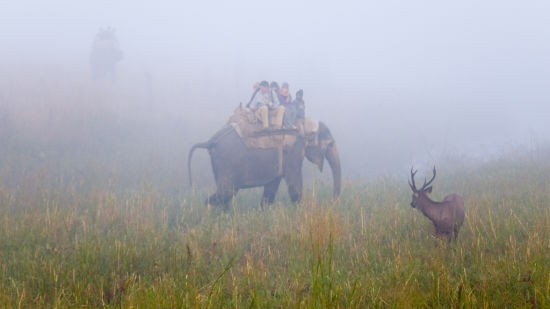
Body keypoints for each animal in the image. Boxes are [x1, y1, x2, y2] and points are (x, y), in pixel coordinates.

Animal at [192, 119, 342, 207]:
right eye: (330, 144)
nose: (332, 202)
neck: (303, 125)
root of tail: (211, 141)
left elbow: (271, 187)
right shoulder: (293, 153)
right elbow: (294, 186)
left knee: (228, 194)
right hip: (226, 164)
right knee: (226, 192)